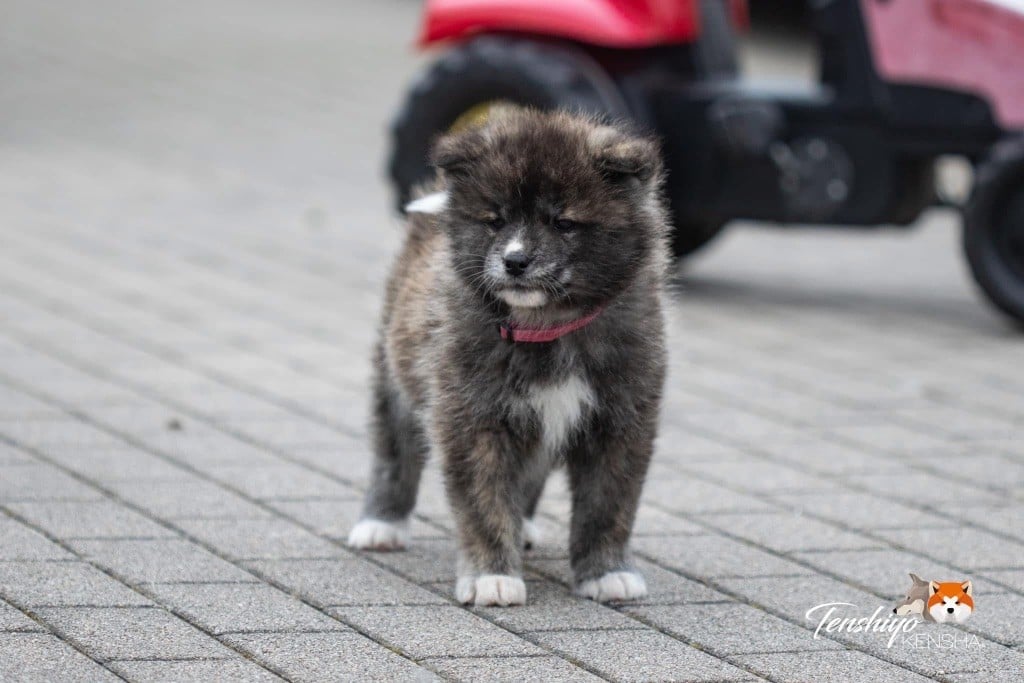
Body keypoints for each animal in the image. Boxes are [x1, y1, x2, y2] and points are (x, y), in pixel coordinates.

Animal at [348, 108, 671, 610]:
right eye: (495, 220)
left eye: (563, 223)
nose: (515, 262)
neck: (548, 326)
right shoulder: (472, 418)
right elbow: (484, 501)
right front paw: (492, 576)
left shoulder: (620, 421)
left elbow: (609, 504)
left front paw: (607, 572)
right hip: (395, 375)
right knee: (394, 452)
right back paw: (381, 524)